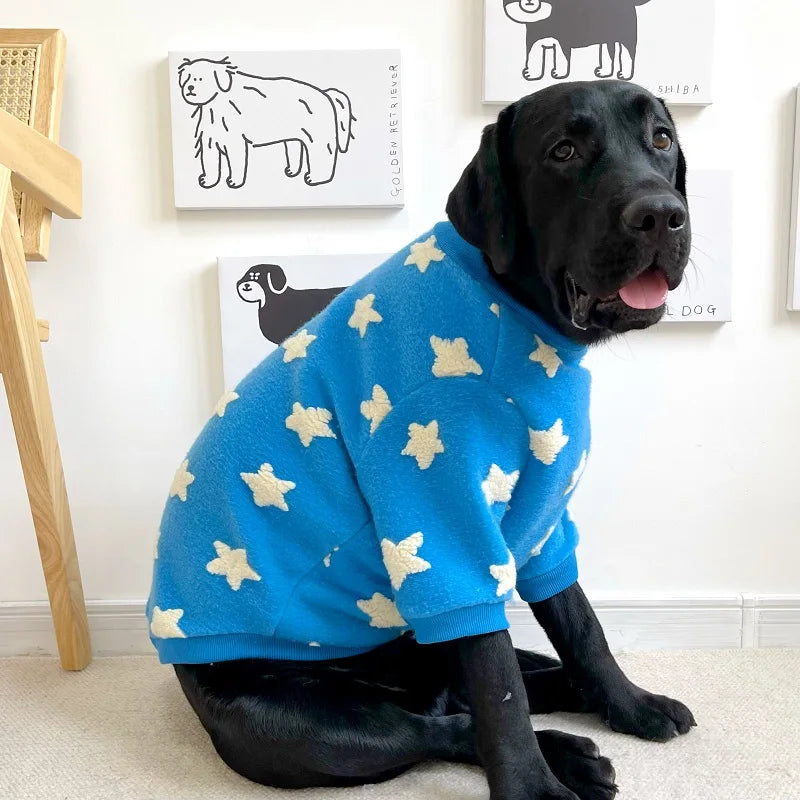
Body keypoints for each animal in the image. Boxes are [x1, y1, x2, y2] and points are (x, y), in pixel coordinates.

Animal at [175, 83, 692, 800]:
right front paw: (532, 791)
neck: (512, 307)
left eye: (662, 139)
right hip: (309, 728)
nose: (661, 214)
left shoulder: (542, 517)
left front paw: (631, 705)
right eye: (563, 150)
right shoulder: (442, 526)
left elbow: (582, 628)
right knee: (446, 724)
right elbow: (500, 691)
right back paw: (567, 756)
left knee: (491, 689)